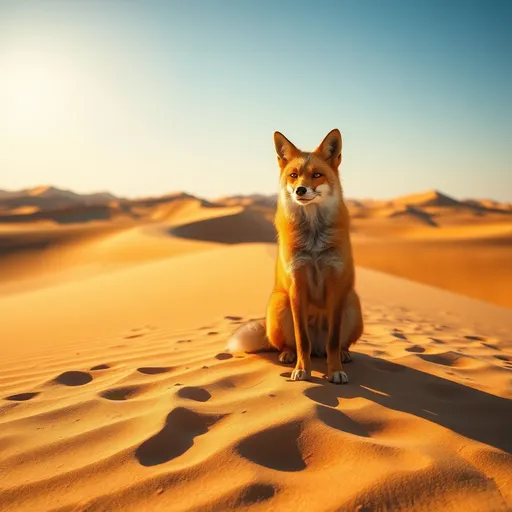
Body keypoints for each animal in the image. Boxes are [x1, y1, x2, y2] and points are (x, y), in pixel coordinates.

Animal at [225, 128, 364, 384]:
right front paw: (302, 370)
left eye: (317, 175)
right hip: (280, 305)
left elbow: (333, 340)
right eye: (293, 175)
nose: (300, 190)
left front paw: (335, 370)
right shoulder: (297, 284)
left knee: (335, 344)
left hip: (352, 304)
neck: (314, 242)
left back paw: (343, 354)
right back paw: (288, 355)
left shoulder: (336, 283)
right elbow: (302, 340)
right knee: (287, 344)